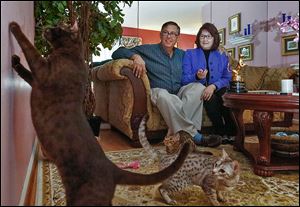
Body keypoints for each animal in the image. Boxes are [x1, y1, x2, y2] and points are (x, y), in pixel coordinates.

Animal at [9, 21, 190, 205]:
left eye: (58, 29)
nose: (46, 27)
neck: (70, 54)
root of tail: (112, 168)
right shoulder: (37, 79)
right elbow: (25, 72)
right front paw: (15, 61)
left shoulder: (42, 71)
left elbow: (29, 48)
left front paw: (14, 26)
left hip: (84, 198)